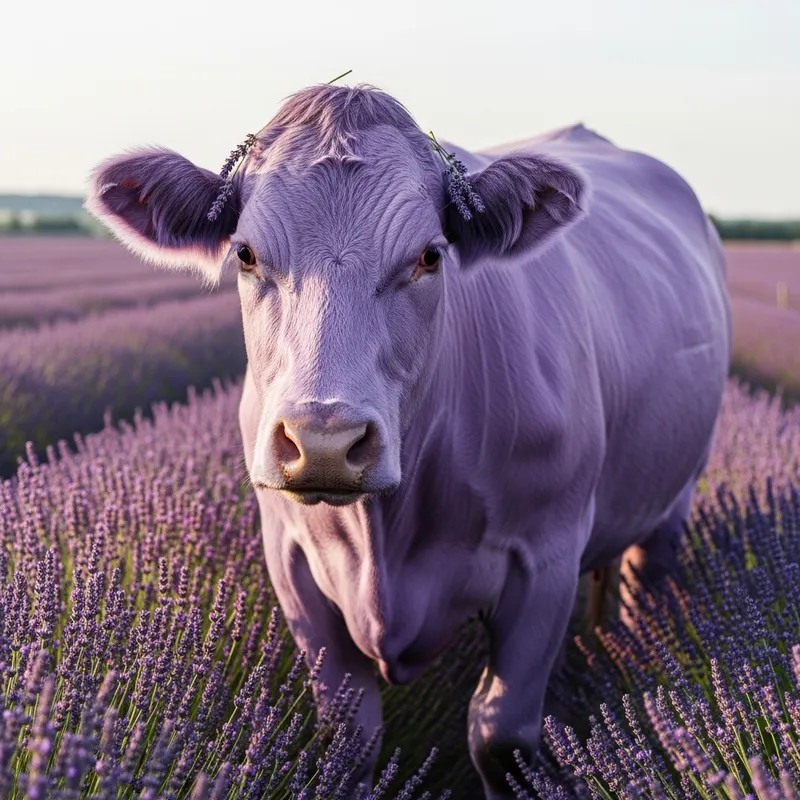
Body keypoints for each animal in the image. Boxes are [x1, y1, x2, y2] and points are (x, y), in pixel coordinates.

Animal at [86, 83, 732, 799]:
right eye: (246, 254)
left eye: (429, 255)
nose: (324, 442)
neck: (387, 537)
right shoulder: (290, 560)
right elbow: (348, 740)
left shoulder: (547, 556)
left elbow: (501, 736)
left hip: (675, 500)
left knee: (648, 589)